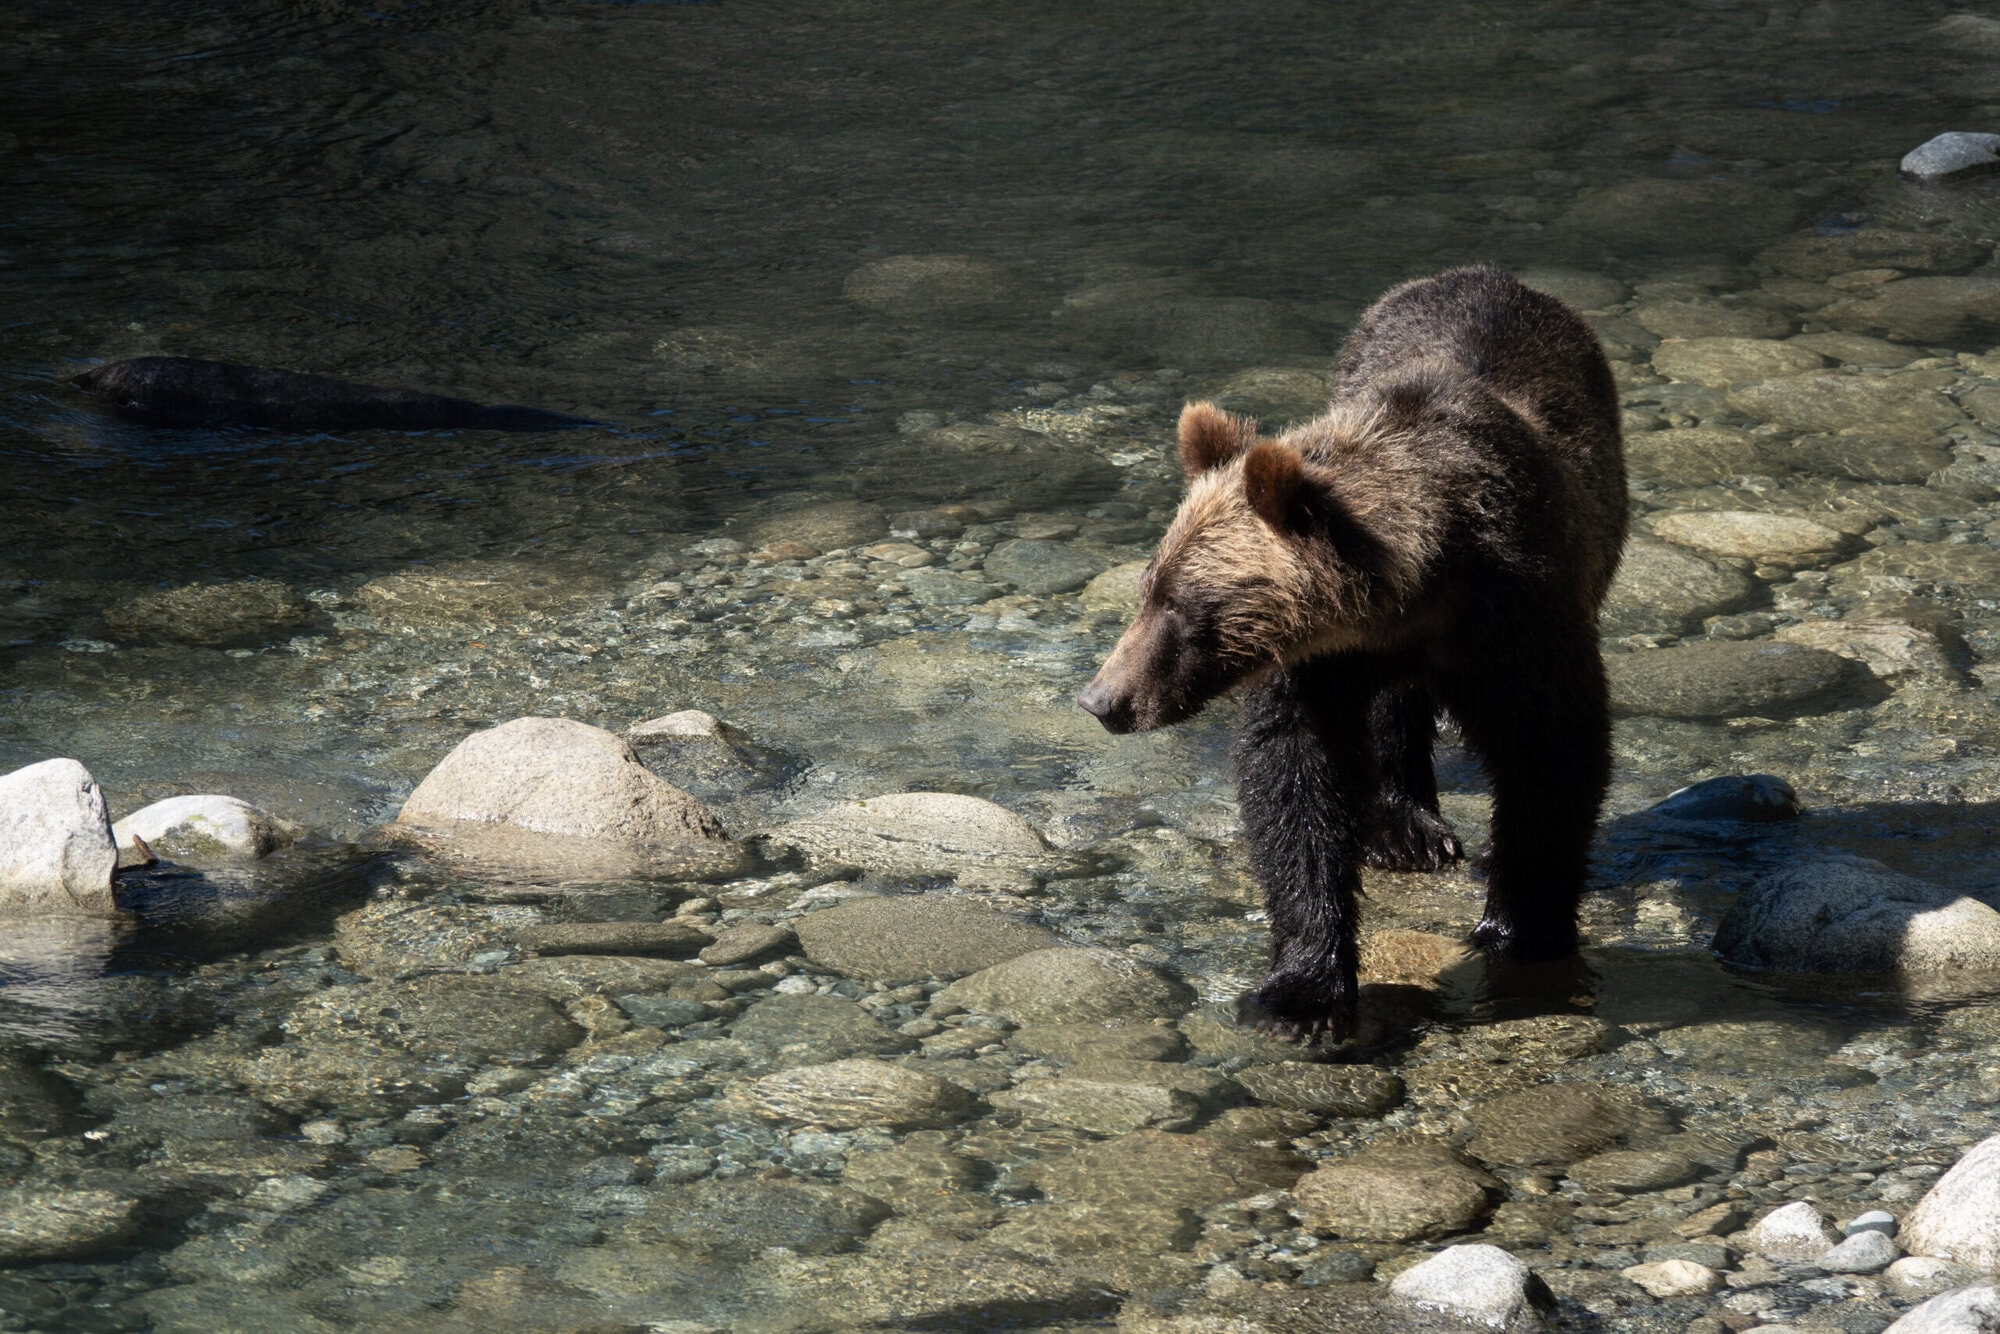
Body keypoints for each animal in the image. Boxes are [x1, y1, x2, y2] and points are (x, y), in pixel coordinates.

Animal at [1078, 266, 1627, 1040]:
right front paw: (1303, 989)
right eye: (1148, 588)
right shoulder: (1318, 667)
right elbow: (1296, 782)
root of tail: (1485, 275)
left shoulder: (1520, 618)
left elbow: (1552, 751)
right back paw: (1405, 827)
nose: (1103, 699)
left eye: (1183, 606)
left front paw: (1521, 928)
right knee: (1395, 710)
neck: (1415, 595)